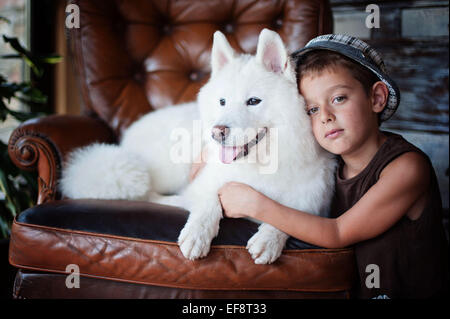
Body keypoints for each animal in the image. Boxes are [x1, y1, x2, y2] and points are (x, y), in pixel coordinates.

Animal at [59, 29, 336, 264]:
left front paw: (269, 239)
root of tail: (127, 137)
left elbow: (287, 214)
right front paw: (197, 234)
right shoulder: (203, 181)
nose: (217, 132)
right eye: (222, 101)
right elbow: (207, 201)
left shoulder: (314, 204)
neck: (262, 163)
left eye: (253, 101)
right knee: (149, 194)